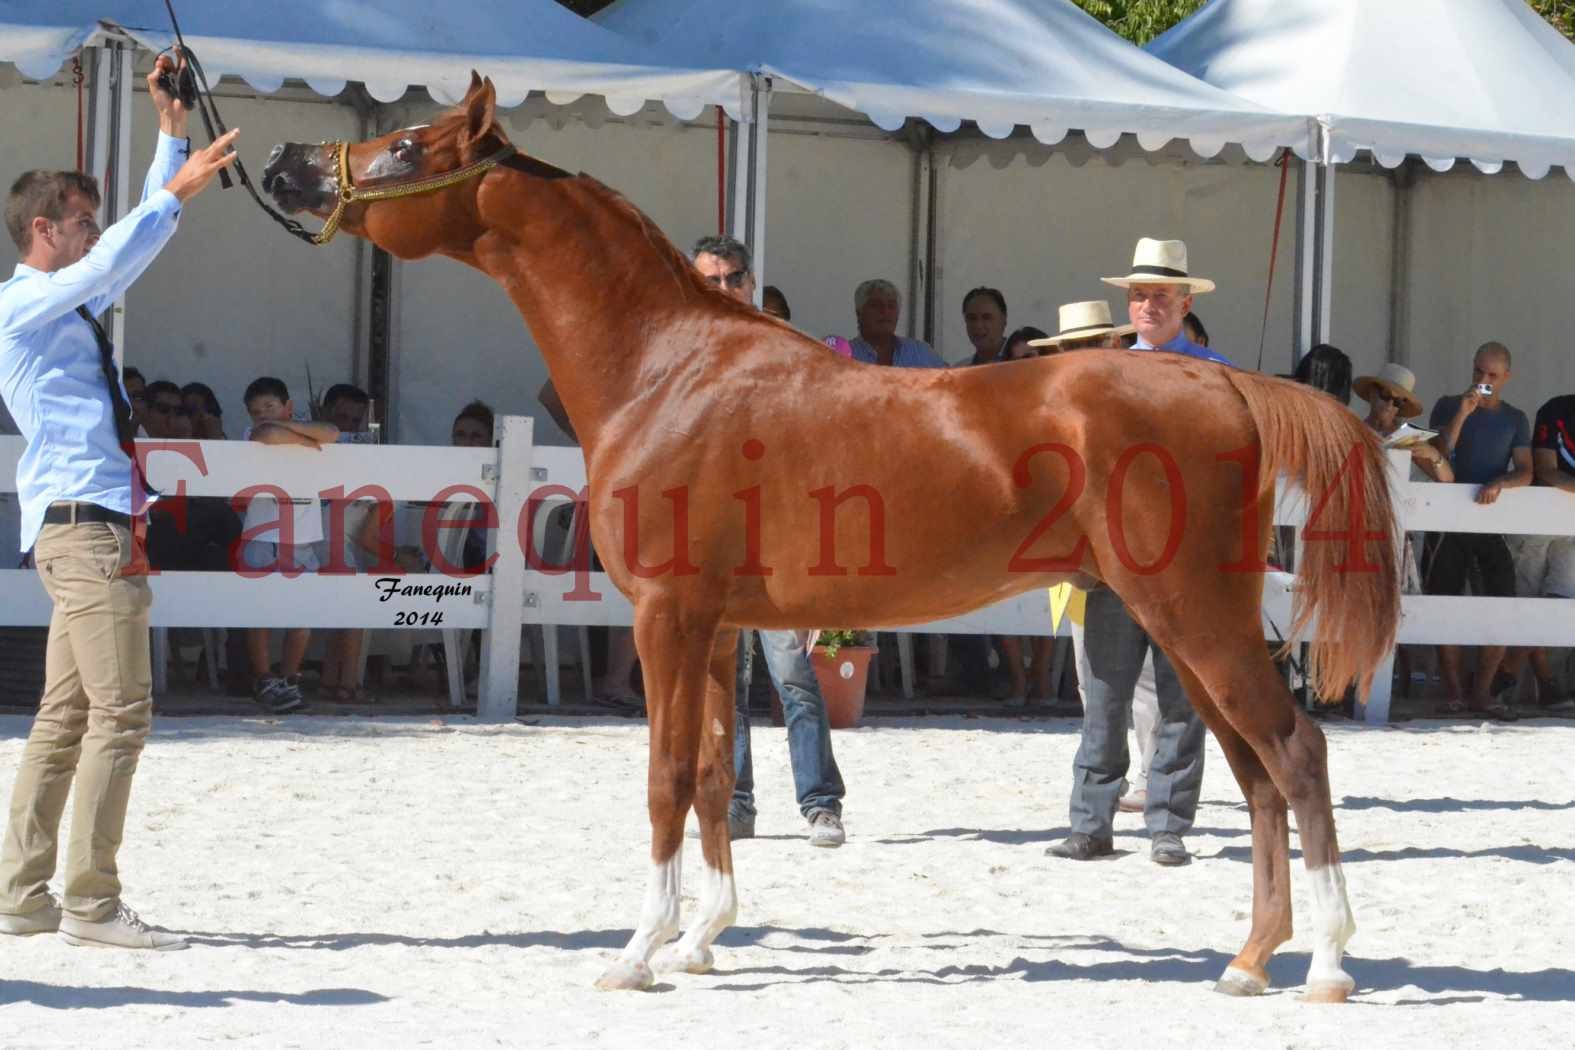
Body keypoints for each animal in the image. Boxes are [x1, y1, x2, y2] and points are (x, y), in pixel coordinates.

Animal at [264, 75, 1398, 1001]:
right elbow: (712, 776)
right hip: (1189, 622)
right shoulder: (717, 630)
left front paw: (637, 954)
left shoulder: (666, 619)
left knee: (1294, 753)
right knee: (1256, 771)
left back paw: (1327, 966)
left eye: (409, 145)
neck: (666, 369)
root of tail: (1223, 382)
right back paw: (1249, 961)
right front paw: (701, 940)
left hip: (1192, 614)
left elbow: (664, 779)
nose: (285, 165)